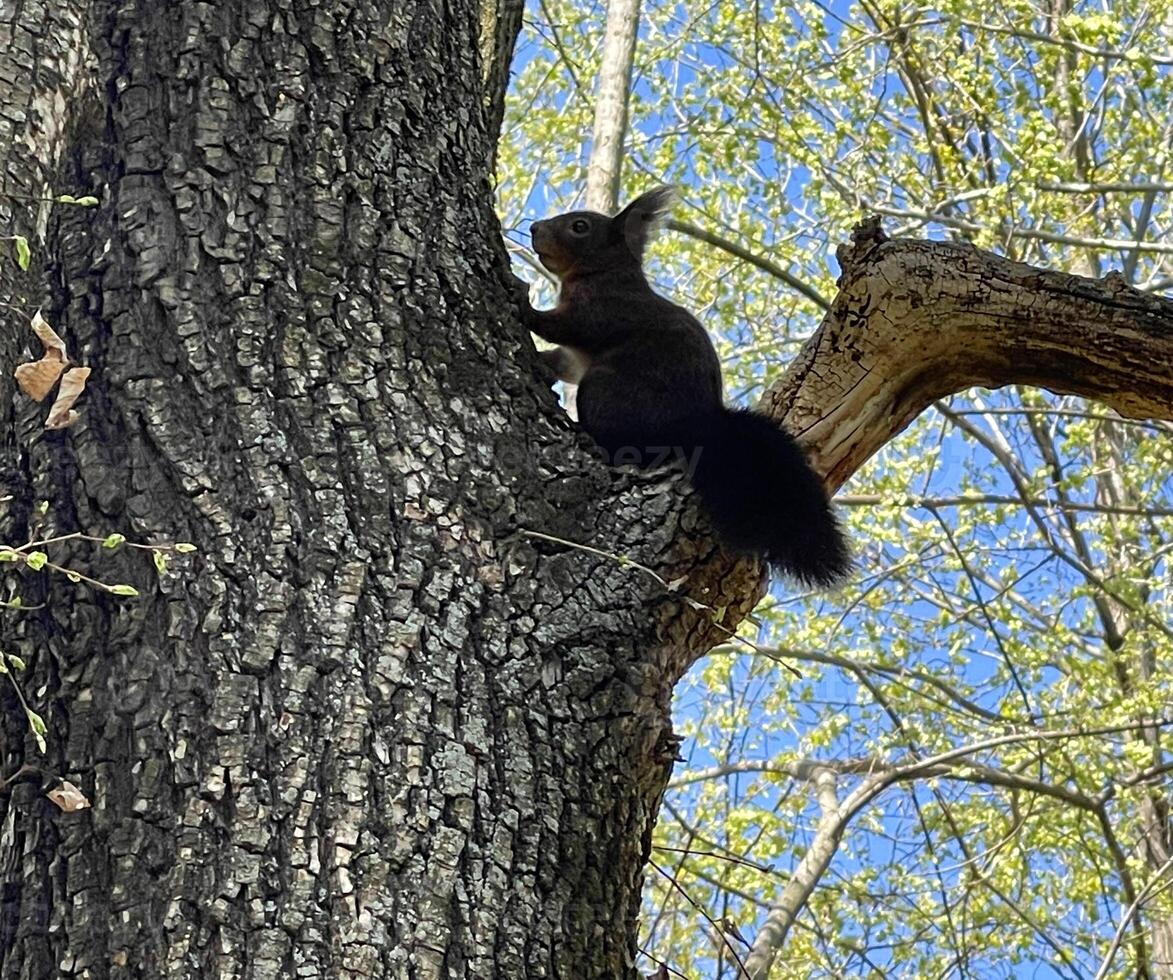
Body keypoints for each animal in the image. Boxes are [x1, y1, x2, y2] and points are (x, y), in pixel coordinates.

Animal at [509, 186, 849, 586]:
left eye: (580, 226)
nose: (535, 228)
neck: (603, 272)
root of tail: (695, 423)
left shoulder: (602, 310)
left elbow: (560, 327)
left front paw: (522, 299)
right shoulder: (578, 353)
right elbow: (564, 361)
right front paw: (544, 364)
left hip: (607, 390)